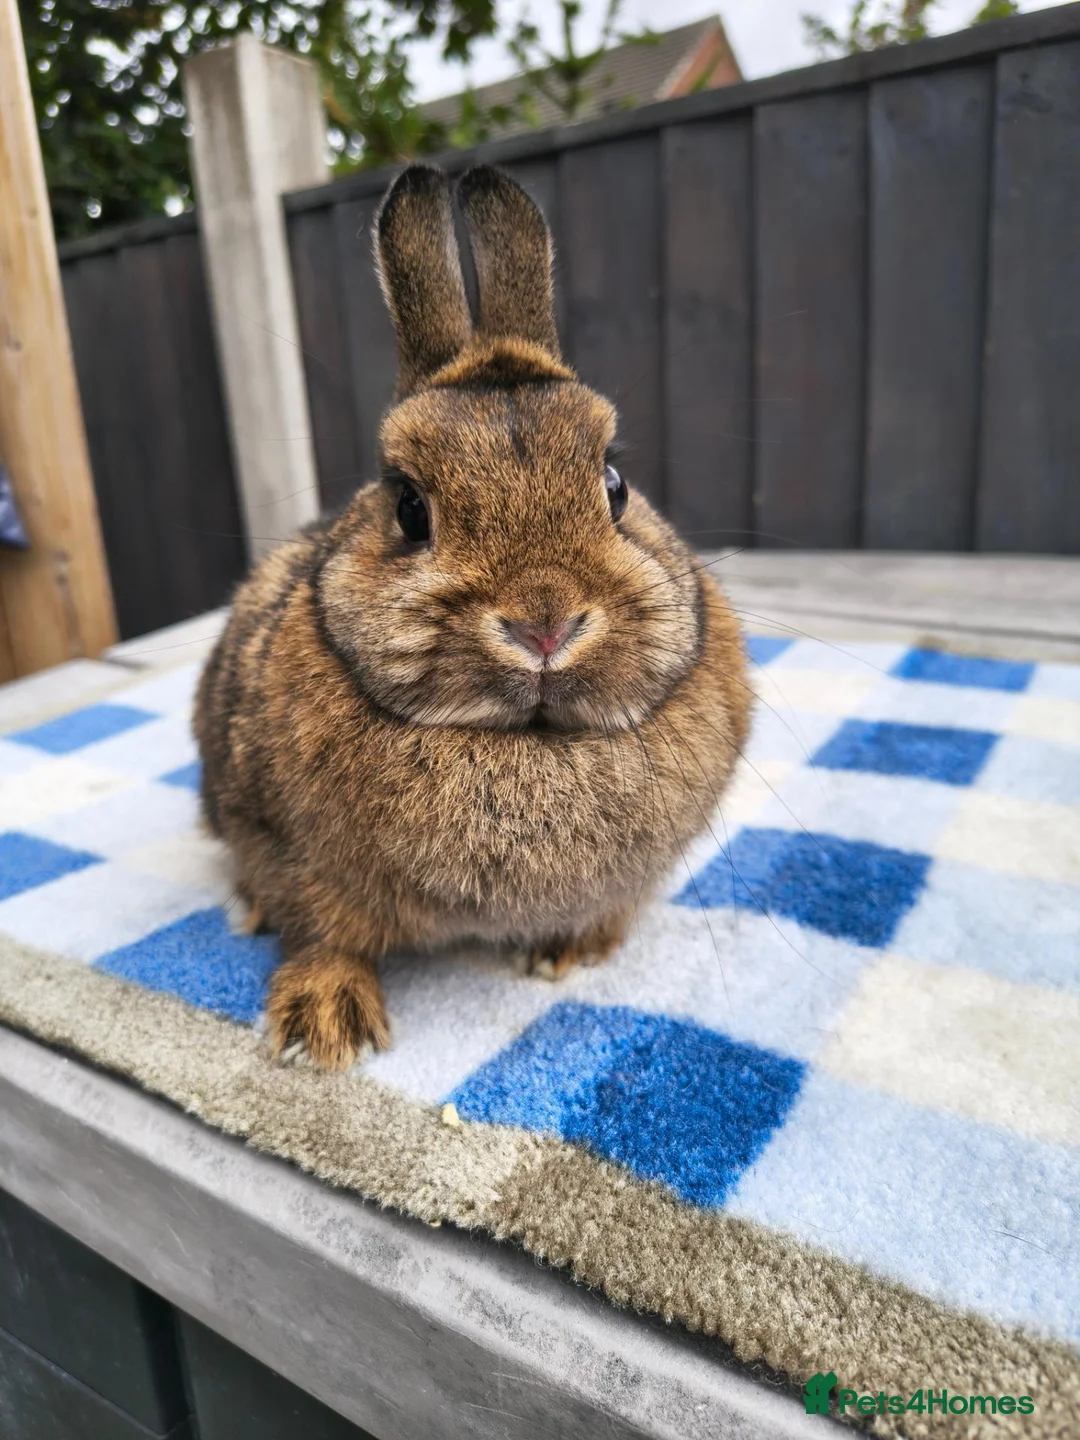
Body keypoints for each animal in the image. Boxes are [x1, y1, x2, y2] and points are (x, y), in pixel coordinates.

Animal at [195, 163, 751, 1069]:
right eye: (409, 507)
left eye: (615, 486)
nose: (544, 622)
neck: (524, 741)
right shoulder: (288, 851)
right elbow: (321, 934)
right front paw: (323, 1027)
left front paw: (570, 952)